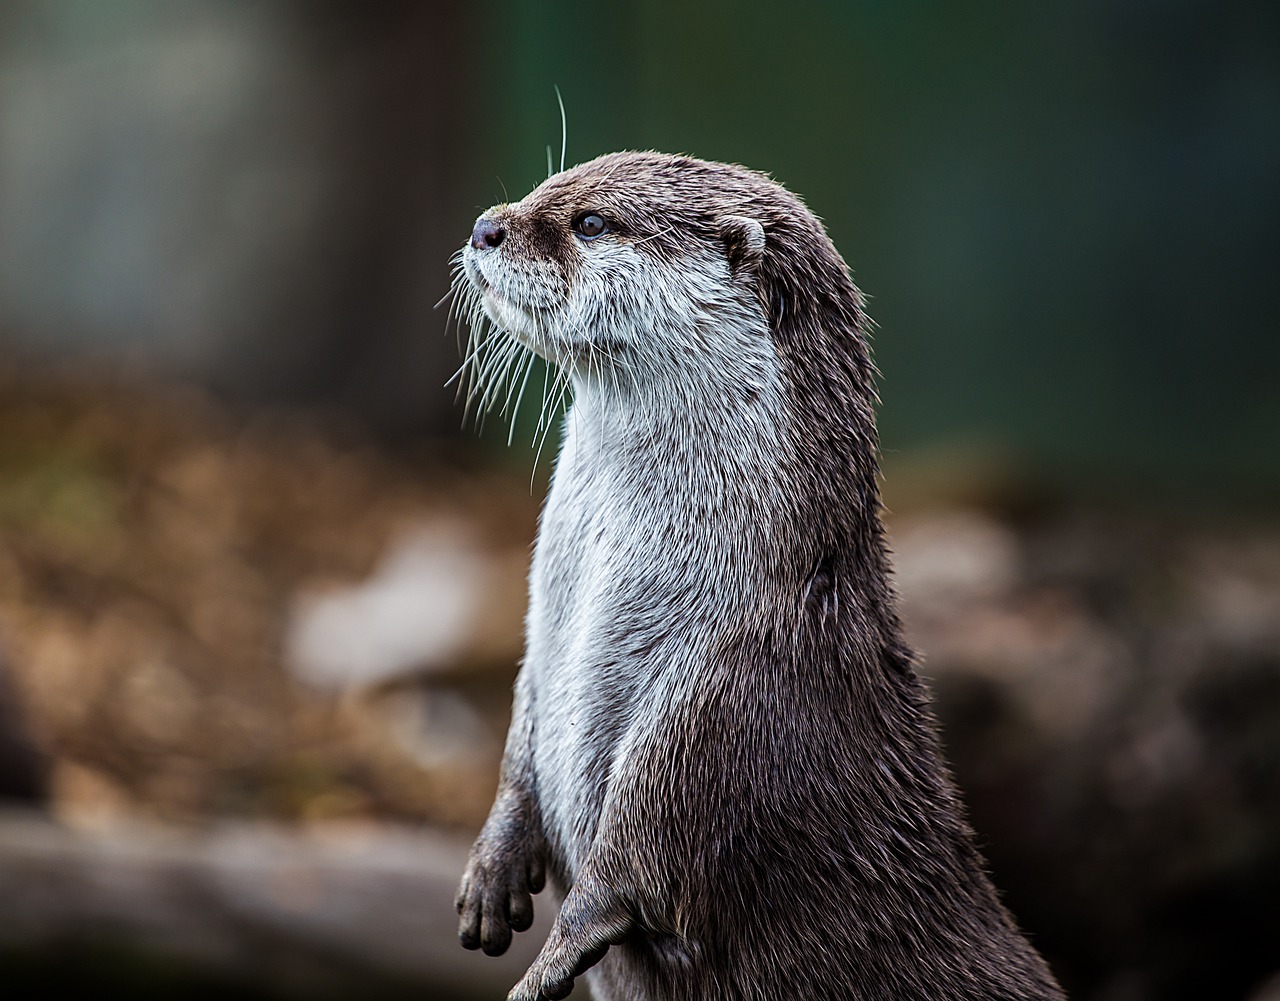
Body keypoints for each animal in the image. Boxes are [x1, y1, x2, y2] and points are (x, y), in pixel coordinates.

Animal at [452, 152, 1065, 1001]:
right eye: (552, 184)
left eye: (592, 222)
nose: (486, 225)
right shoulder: (541, 642)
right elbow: (521, 738)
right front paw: (491, 870)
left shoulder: (720, 694)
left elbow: (633, 859)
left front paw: (548, 961)